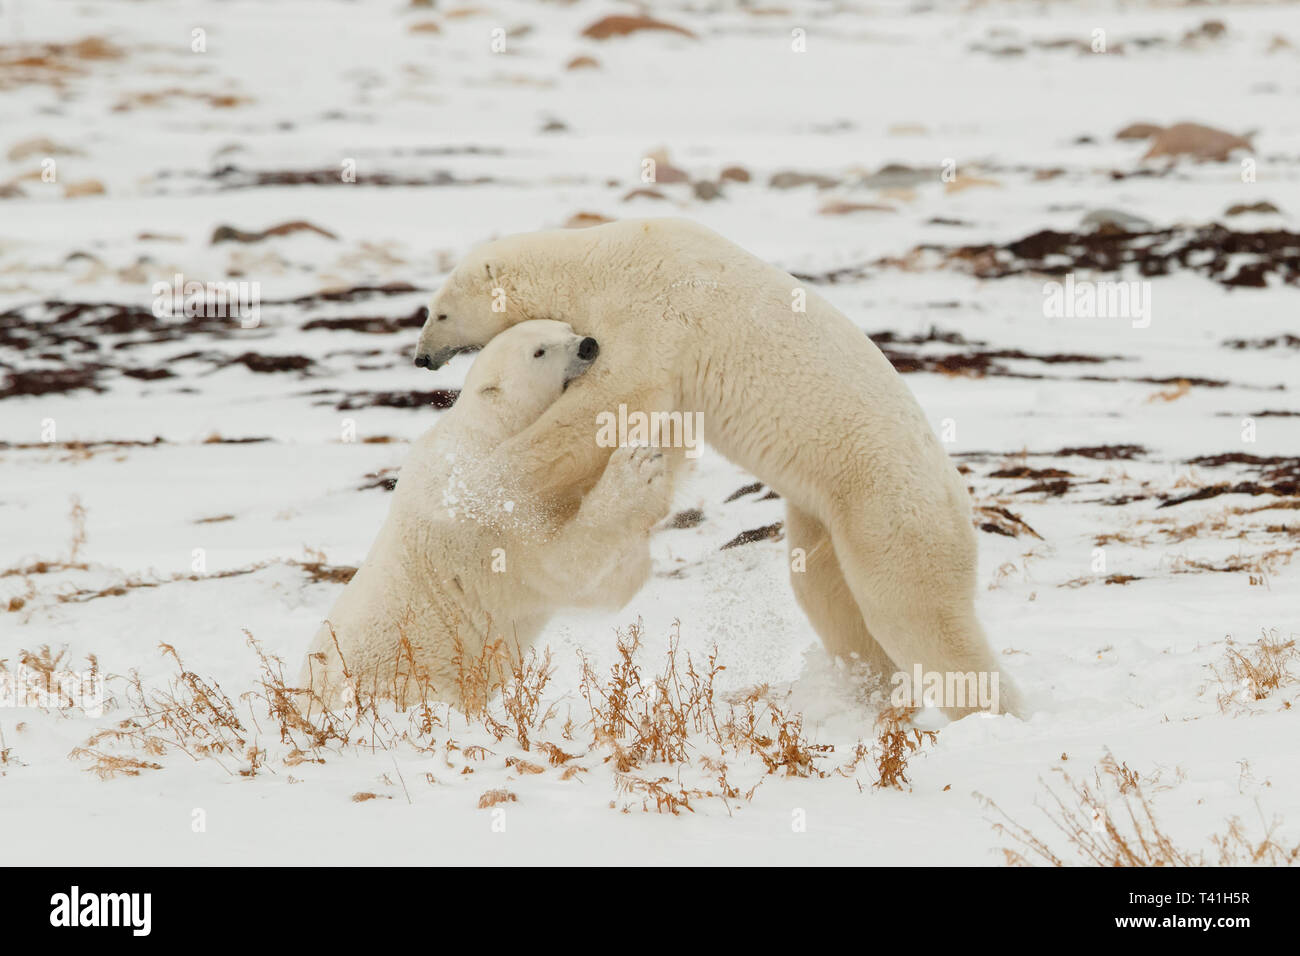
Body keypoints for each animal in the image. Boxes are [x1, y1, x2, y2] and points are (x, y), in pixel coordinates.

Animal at [300, 319, 674, 710]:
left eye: (565, 327)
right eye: (539, 351)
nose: (588, 345)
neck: (489, 434)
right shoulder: (482, 514)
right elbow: (563, 567)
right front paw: (639, 466)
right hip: (406, 679)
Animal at [412, 217, 1024, 719]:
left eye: (439, 311)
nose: (420, 357)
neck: (600, 257)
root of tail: (957, 494)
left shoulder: (652, 312)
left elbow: (612, 399)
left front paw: (488, 478)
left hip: (888, 508)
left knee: (915, 612)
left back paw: (990, 710)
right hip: (830, 516)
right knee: (827, 591)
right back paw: (864, 689)